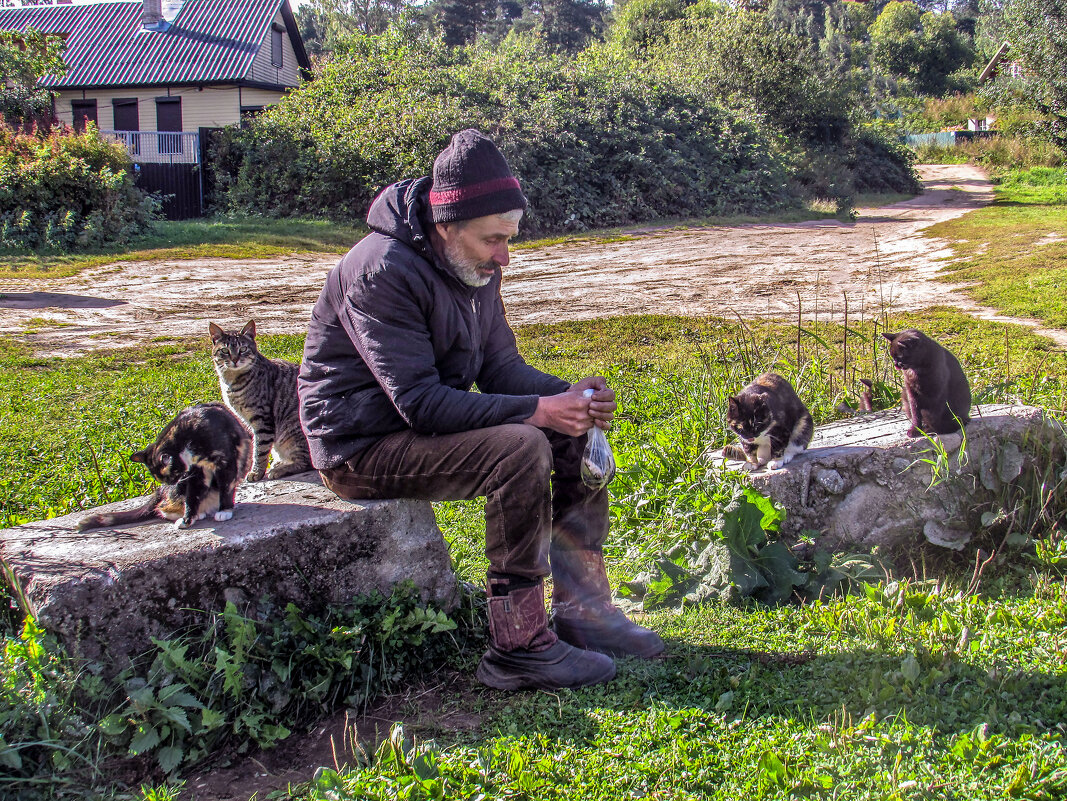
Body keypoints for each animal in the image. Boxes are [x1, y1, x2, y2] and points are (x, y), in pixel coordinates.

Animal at [77, 403, 252, 529]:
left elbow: (226, 487)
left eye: (169, 475)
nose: (172, 482)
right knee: (163, 507)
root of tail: (160, 491)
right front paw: (188, 518)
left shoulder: (226, 462)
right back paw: (196, 514)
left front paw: (225, 510)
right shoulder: (195, 472)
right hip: (177, 493)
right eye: (161, 478)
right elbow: (192, 496)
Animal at [206, 322, 309, 482]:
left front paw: (256, 472)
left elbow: (260, 449)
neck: (232, 381)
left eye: (243, 349)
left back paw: (281, 469)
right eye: (225, 351)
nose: (235, 359)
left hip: (291, 432)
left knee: (306, 462)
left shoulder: (262, 419)